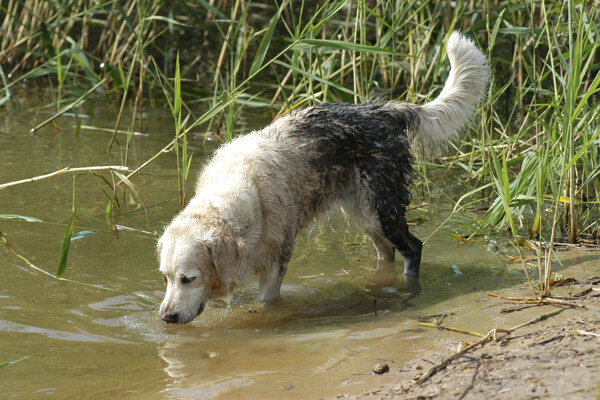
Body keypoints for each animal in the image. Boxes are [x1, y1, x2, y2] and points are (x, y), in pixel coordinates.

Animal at [157, 32, 490, 324]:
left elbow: (267, 302)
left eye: (188, 278)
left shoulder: (276, 264)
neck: (239, 191)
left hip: (383, 210)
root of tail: (383, 109)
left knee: (413, 247)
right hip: (365, 214)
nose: (165, 317)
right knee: (386, 253)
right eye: (165, 277)